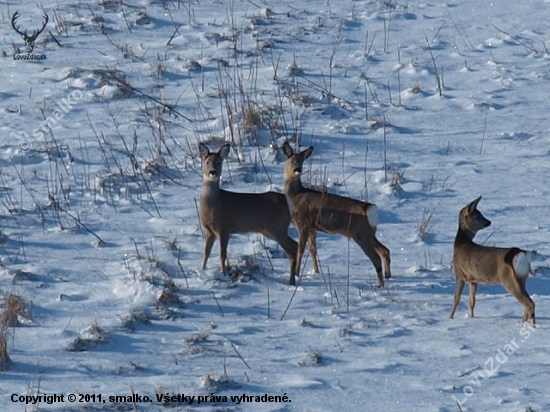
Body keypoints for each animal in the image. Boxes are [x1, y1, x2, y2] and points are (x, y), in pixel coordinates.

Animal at [199, 142, 300, 284]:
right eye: (207, 162)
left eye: (219, 162)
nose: (212, 172)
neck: (214, 204)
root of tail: (289, 204)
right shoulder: (209, 231)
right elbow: (206, 253)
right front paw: (202, 270)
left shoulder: (225, 227)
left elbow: (222, 254)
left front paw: (223, 273)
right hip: (271, 230)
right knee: (295, 245)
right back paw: (294, 277)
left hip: (276, 227)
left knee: (292, 248)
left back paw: (292, 280)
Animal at [284, 142, 392, 286]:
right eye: (292, 160)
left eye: (302, 161)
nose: (298, 169)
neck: (295, 195)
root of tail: (369, 208)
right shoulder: (312, 228)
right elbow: (313, 250)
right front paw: (316, 272)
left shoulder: (304, 224)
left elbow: (301, 250)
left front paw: (296, 274)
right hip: (369, 233)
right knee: (385, 250)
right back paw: (388, 276)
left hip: (360, 234)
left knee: (376, 257)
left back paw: (380, 284)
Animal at [450, 196, 536, 326]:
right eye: (477, 215)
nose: (488, 222)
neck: (460, 244)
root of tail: (520, 253)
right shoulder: (473, 279)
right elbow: (472, 300)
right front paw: (471, 317)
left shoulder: (460, 274)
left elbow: (456, 298)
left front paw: (449, 318)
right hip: (522, 278)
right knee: (527, 302)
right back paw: (523, 323)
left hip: (508, 279)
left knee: (530, 303)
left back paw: (532, 326)